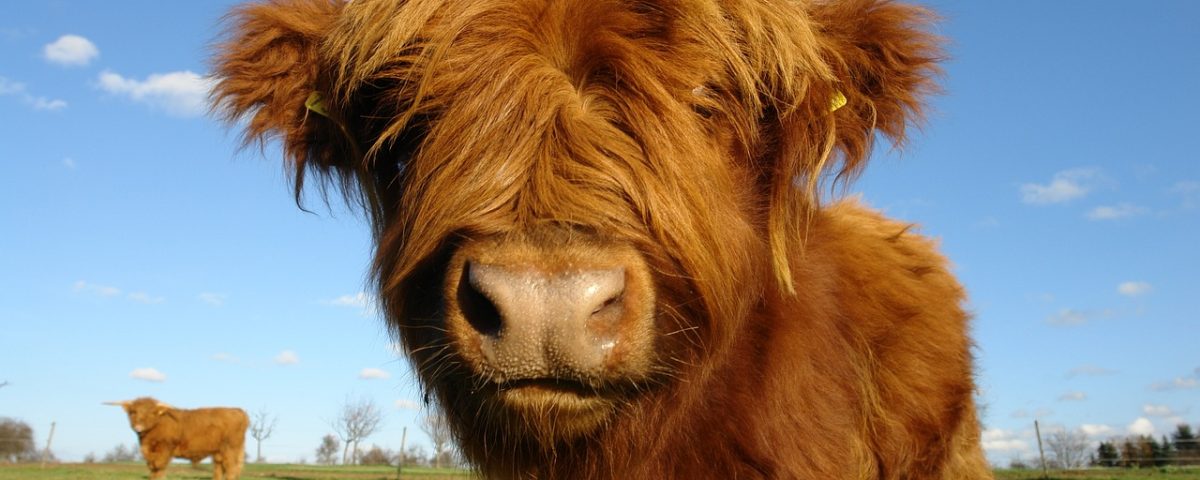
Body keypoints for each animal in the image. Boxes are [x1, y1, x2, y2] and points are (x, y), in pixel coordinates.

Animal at [106, 397, 248, 480]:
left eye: (151, 413)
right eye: (133, 412)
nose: (138, 426)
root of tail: (238, 410)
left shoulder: (165, 448)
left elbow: (159, 466)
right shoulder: (149, 451)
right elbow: (152, 467)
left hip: (230, 448)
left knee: (231, 468)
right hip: (219, 451)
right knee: (220, 467)